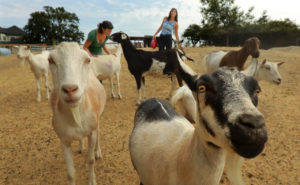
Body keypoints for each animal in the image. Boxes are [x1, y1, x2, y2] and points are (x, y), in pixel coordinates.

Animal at [48, 42, 106, 185]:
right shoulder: (64, 140)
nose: (70, 89)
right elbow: (70, 173)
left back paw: (98, 152)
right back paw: (80, 146)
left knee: (99, 131)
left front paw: (92, 180)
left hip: (98, 119)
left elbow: (90, 160)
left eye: (87, 60)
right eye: (51, 60)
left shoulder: (92, 132)